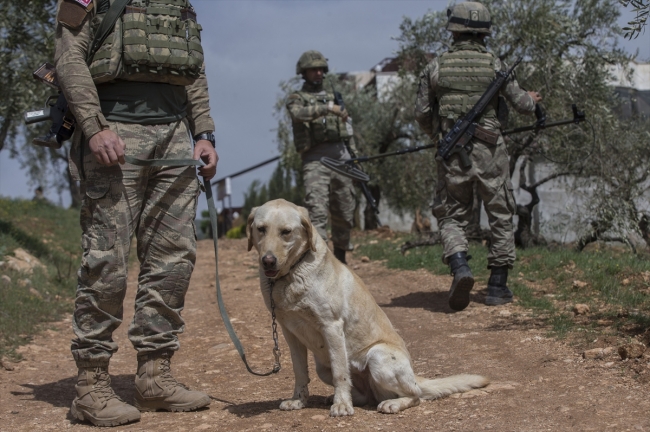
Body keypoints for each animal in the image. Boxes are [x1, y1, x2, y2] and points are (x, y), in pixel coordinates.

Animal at [248, 201, 486, 416]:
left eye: (286, 232)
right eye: (261, 229)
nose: (268, 261)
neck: (290, 276)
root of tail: (415, 377)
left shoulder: (331, 327)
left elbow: (340, 373)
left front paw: (342, 405)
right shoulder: (290, 333)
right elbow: (300, 372)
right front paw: (298, 400)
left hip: (378, 357)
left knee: (415, 395)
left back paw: (391, 404)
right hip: (323, 368)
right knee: (364, 395)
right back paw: (338, 398)